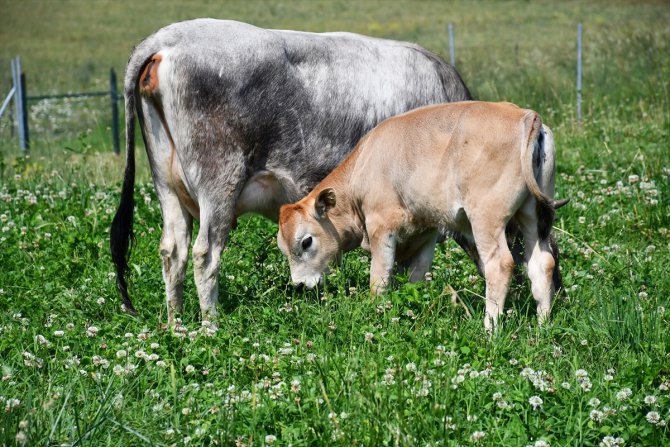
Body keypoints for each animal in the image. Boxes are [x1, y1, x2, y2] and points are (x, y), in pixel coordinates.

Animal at [111, 18, 472, 326]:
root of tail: (168, 37)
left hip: (166, 185)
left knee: (173, 251)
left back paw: (177, 326)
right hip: (219, 182)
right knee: (205, 254)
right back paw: (210, 326)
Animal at [278, 102, 568, 332]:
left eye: (306, 241)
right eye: (283, 248)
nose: (299, 286)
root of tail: (524, 114)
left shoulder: (381, 226)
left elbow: (379, 279)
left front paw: (375, 312)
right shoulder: (426, 230)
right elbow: (416, 276)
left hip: (486, 218)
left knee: (500, 265)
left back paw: (490, 329)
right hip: (533, 216)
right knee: (542, 263)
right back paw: (542, 325)